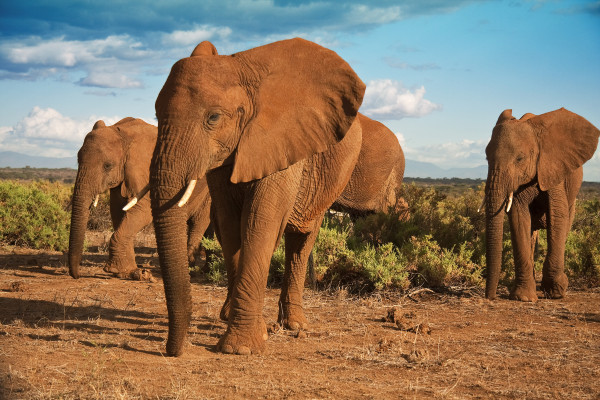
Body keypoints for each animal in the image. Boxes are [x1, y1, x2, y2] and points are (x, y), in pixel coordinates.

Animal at [67, 117, 212, 280]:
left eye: (108, 166)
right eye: (78, 160)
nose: (77, 275)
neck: (124, 134)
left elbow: (143, 211)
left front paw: (117, 270)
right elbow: (117, 211)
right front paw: (128, 272)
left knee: (199, 222)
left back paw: (191, 269)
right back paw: (206, 270)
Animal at [150, 38, 366, 356]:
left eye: (213, 117)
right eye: (156, 115)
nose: (171, 351)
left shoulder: (282, 142)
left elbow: (260, 221)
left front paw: (239, 348)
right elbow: (229, 225)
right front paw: (246, 329)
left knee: (301, 239)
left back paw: (294, 325)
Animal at [482, 108, 600, 302]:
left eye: (520, 158)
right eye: (486, 157)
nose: (490, 297)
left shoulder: (553, 167)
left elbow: (557, 215)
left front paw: (556, 291)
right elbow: (518, 217)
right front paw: (523, 297)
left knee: (566, 223)